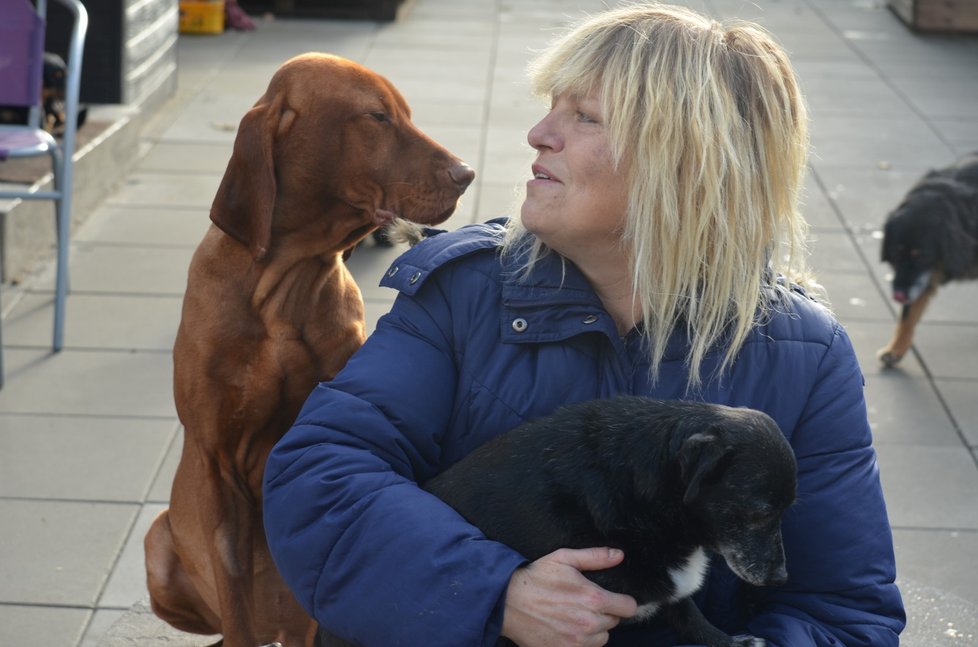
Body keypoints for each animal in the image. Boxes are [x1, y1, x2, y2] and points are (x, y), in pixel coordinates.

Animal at [143, 54, 474, 647]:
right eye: (377, 117)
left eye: (406, 114)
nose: (466, 173)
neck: (284, 289)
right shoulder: (215, 465)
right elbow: (234, 598)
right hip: (157, 541)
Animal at [876, 151, 976, 364]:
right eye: (896, 254)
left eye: (921, 256)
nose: (898, 295)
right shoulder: (922, 278)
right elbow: (907, 316)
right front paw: (895, 349)